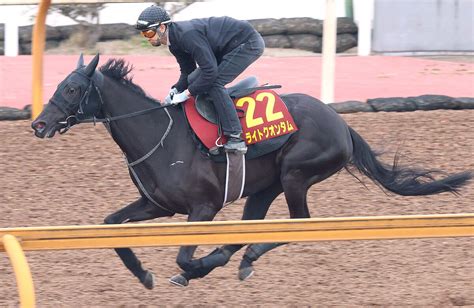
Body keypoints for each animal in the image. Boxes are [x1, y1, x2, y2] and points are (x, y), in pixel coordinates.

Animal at [31, 54, 472, 288]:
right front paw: (144, 275)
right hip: (264, 187)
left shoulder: (202, 209)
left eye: (72, 88)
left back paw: (234, 259)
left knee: (298, 224)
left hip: (296, 174)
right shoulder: (157, 205)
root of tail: (341, 123)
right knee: (252, 228)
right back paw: (234, 259)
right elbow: (111, 226)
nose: (38, 123)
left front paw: (192, 269)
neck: (159, 135)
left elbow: (183, 258)